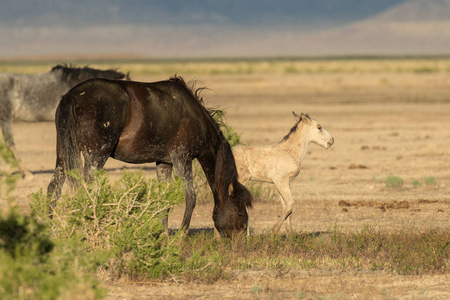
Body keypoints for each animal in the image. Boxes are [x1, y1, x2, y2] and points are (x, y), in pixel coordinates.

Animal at [48, 75, 253, 237]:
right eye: (239, 212)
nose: (241, 241)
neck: (197, 117)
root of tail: (71, 96)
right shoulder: (182, 158)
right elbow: (190, 196)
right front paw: (180, 238)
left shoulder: (164, 162)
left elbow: (164, 199)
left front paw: (163, 237)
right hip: (96, 156)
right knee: (87, 191)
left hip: (63, 155)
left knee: (54, 188)